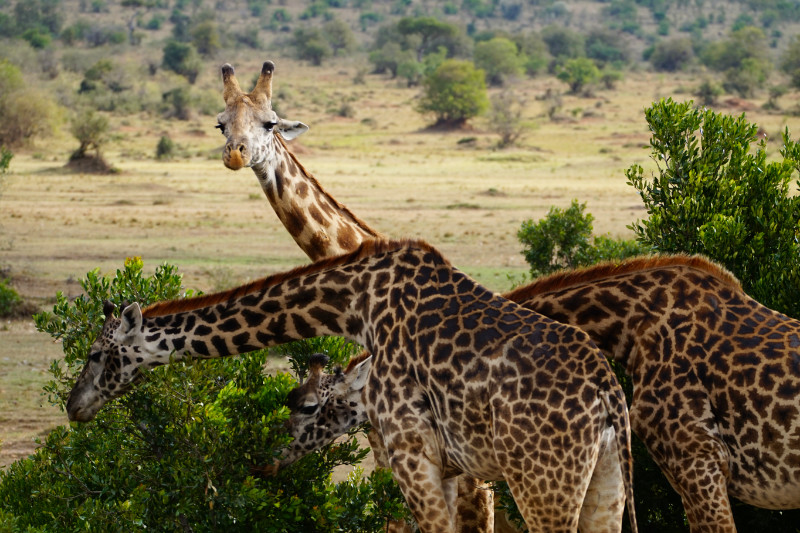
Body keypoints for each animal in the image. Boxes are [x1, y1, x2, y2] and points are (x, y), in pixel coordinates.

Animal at [65, 239, 638, 533]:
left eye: (95, 354)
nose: (74, 406)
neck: (355, 303)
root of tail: (609, 394)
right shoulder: (449, 468)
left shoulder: (411, 453)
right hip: (605, 479)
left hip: (542, 481)